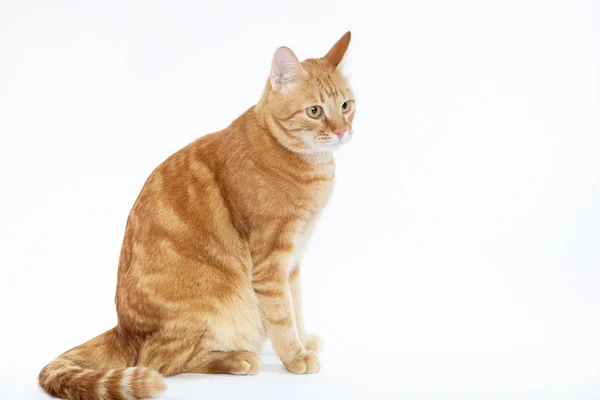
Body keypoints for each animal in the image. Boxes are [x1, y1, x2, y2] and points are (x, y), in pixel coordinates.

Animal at [37, 32, 354, 400]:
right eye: (314, 111)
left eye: (346, 106)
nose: (342, 131)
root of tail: (124, 328)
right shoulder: (270, 260)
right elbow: (282, 314)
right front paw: (295, 356)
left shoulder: (294, 260)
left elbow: (297, 305)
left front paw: (304, 341)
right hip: (217, 299)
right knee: (161, 362)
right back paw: (238, 358)